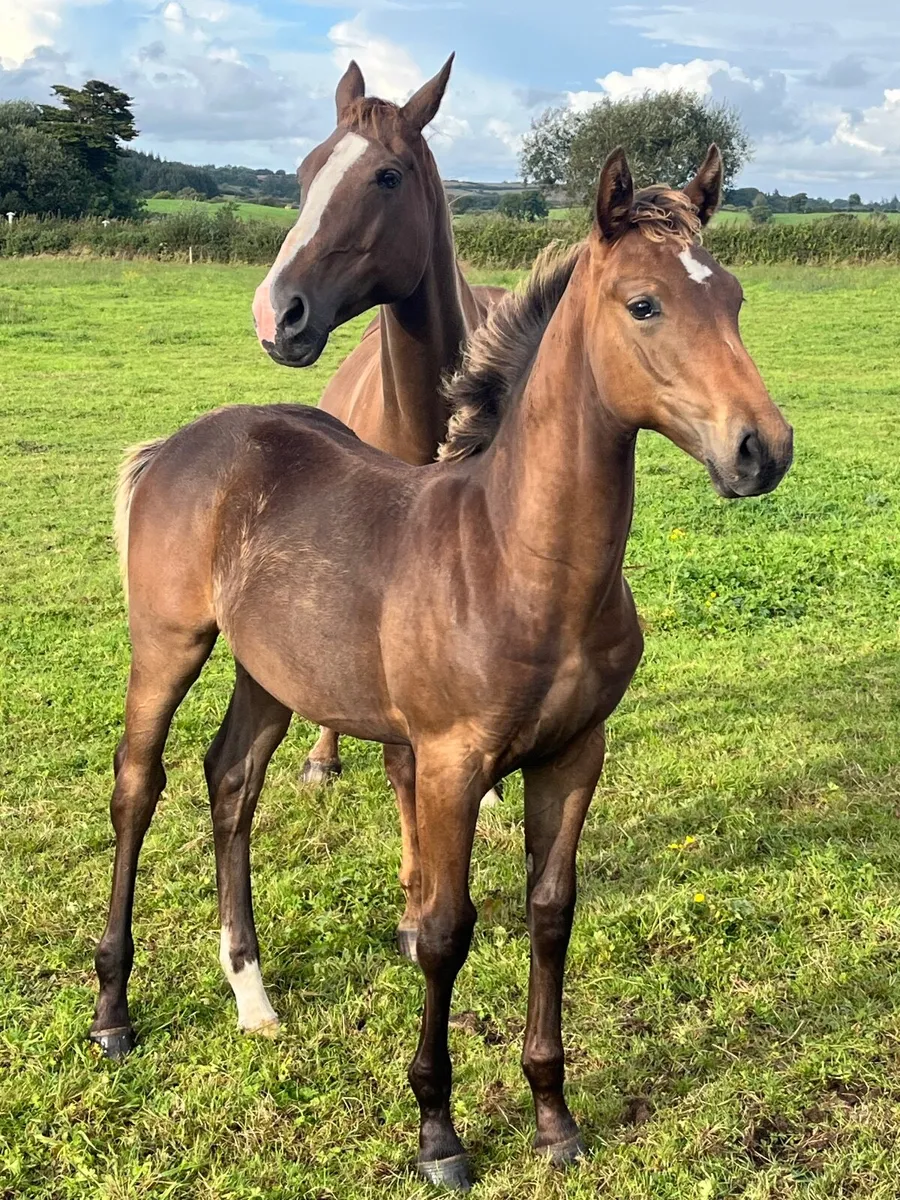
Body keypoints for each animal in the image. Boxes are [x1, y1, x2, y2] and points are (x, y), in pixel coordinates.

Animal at [92, 146, 792, 1190]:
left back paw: (253, 996)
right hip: (167, 646)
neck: (516, 557)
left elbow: (551, 913)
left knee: (232, 782)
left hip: (273, 670)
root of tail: (179, 443)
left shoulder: (575, 754)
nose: (762, 449)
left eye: (736, 298)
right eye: (644, 304)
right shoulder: (451, 762)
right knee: (139, 786)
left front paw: (554, 1117)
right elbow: (444, 931)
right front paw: (438, 1133)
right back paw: (113, 1011)